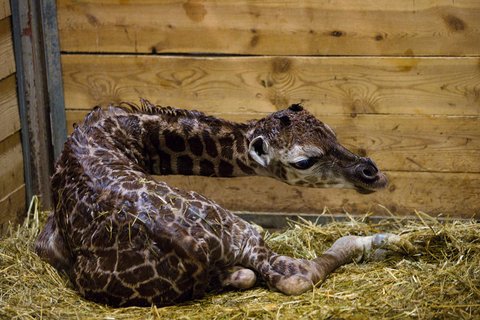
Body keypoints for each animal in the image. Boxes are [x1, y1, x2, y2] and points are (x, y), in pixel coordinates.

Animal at [34, 101, 412, 306]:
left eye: (332, 133)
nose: (372, 173)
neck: (125, 135)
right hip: (248, 232)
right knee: (293, 275)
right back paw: (389, 241)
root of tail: (198, 248)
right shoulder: (46, 238)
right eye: (305, 161)